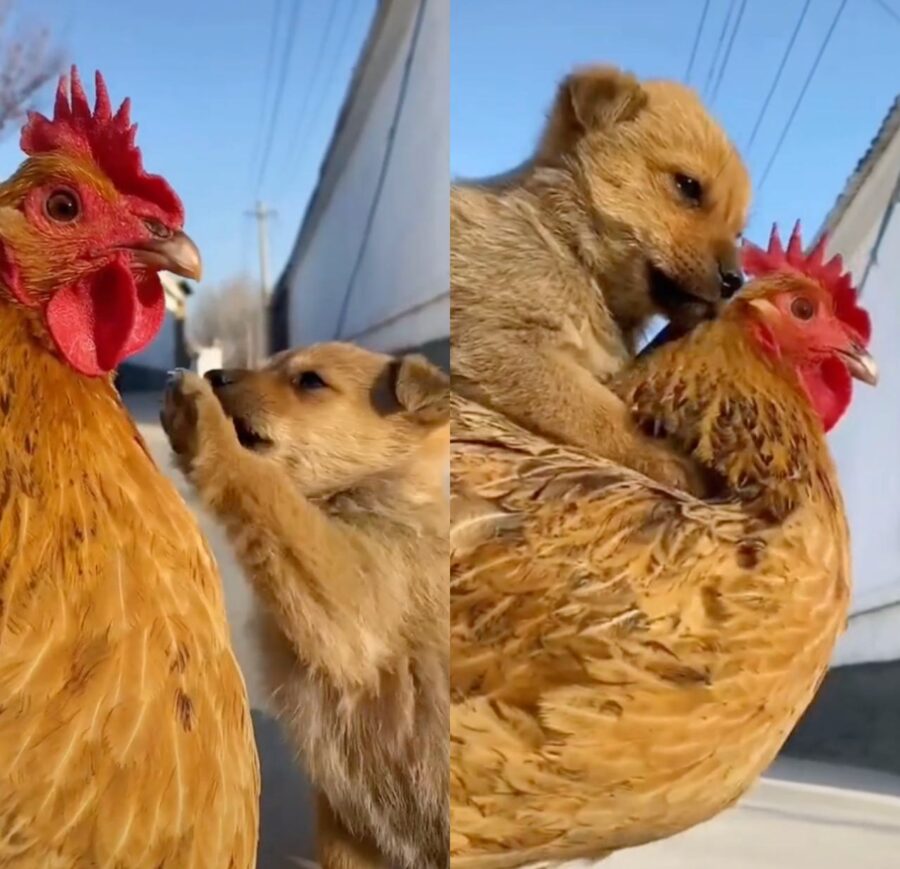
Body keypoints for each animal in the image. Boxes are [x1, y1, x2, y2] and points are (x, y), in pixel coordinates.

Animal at [161, 342, 450, 868]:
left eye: (310, 381)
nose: (213, 376)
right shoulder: (347, 831)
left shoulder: (355, 602)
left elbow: (271, 495)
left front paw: (199, 419)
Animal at [450, 64, 752, 492]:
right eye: (688, 186)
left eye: (739, 233)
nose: (735, 280)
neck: (573, 253)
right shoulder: (494, 342)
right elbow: (600, 413)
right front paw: (673, 462)